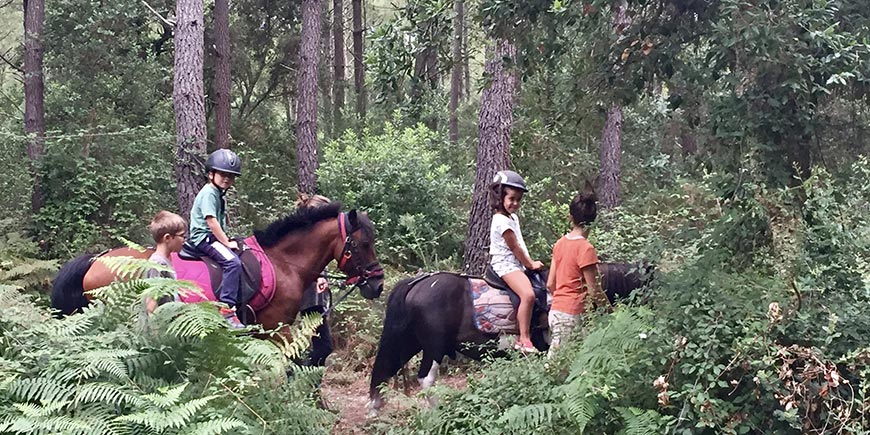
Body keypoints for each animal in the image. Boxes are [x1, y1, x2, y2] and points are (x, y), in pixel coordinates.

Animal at [368, 262, 656, 412]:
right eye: (648, 286)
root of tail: (417, 283)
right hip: (433, 348)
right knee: (426, 379)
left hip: (408, 342)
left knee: (383, 372)